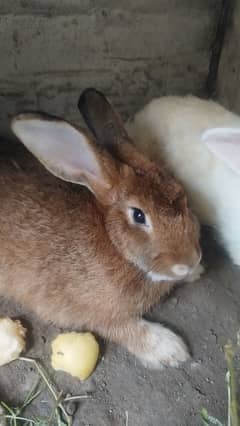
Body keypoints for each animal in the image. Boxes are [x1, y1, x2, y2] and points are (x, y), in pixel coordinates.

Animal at [0, 88, 202, 368]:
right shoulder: (93, 312)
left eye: (181, 193)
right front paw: (170, 349)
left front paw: (196, 272)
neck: (115, 243)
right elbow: (126, 329)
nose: (190, 261)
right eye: (139, 215)